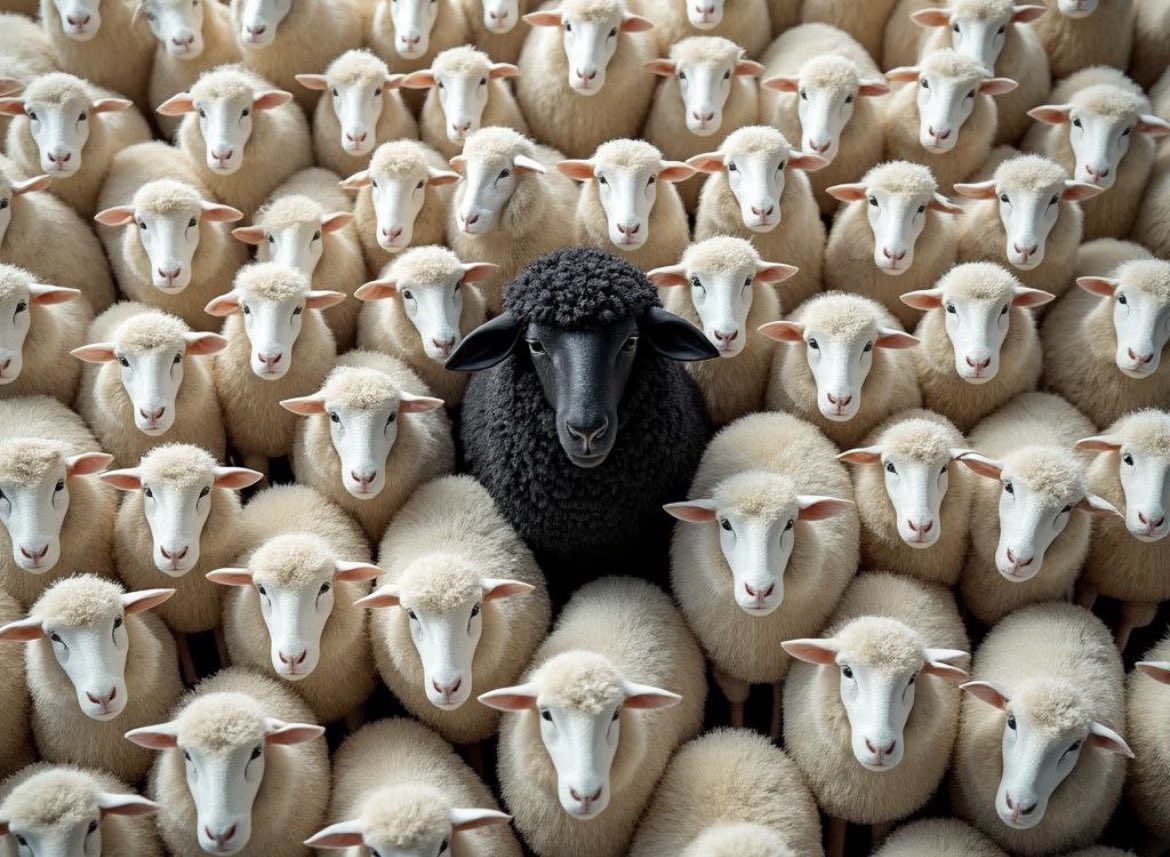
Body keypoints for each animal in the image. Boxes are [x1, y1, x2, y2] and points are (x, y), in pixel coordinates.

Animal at [665, 411, 859, 731]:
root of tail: (770, 415)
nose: (759, 591)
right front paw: (740, 732)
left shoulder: (781, 655)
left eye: (790, 524)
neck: (760, 631)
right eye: (725, 524)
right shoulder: (730, 663)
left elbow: (779, 693)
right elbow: (737, 701)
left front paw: (774, 734)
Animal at [782, 572, 970, 856]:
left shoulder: (885, 806)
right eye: (846, 671)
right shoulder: (839, 797)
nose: (880, 748)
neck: (868, 789)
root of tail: (898, 575)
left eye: (913, 677)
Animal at [1074, 410, 1170, 650]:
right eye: (1127, 459)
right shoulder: (1090, 579)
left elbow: (1128, 624)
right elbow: (1084, 606)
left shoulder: (1143, 596)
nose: (1150, 520)